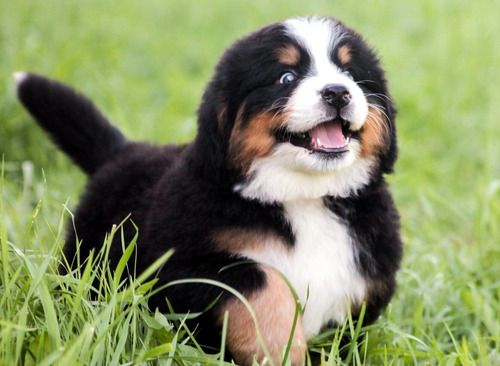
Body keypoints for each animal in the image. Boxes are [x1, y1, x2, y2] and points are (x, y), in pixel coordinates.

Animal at [16, 15, 402, 366]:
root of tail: (121, 151)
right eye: (287, 77)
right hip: (87, 260)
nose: (337, 92)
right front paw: (280, 352)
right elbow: (267, 288)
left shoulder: (367, 273)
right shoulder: (191, 266)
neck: (304, 197)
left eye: (350, 73)